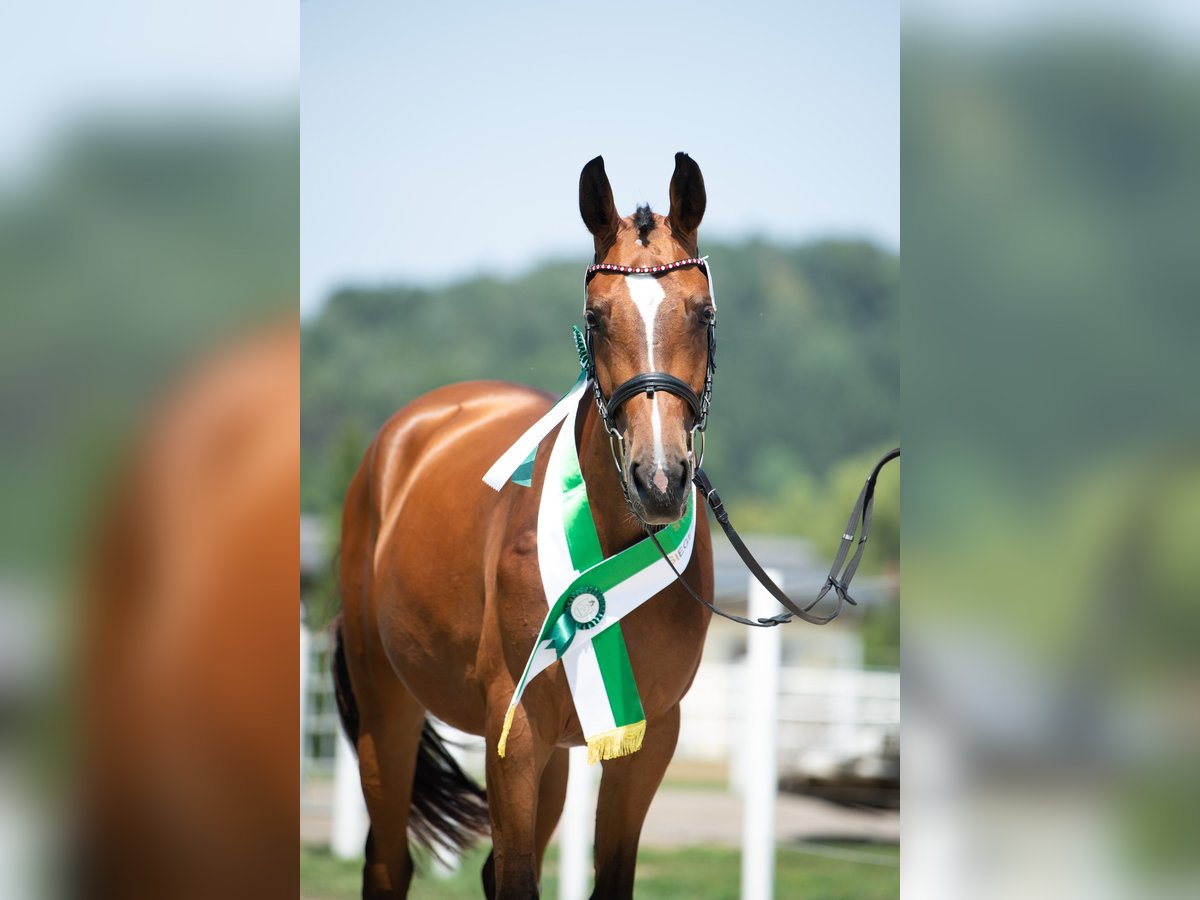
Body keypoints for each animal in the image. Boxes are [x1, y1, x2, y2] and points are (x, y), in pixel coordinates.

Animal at [334, 153, 716, 899]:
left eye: (703, 311)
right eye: (595, 318)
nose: (659, 480)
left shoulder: (648, 735)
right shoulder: (514, 732)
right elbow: (515, 878)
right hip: (386, 707)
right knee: (389, 864)